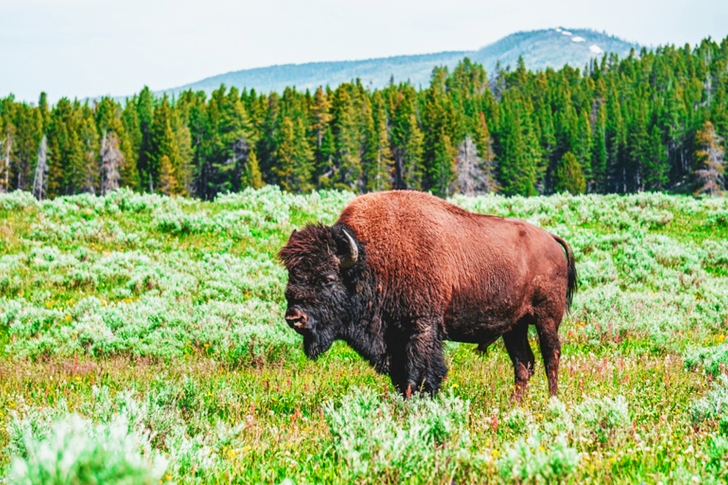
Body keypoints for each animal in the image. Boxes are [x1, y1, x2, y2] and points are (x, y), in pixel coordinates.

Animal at [279, 191, 576, 401]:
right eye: (292, 275)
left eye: (328, 278)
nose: (294, 317)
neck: (369, 261)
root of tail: (550, 238)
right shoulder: (394, 339)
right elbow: (402, 377)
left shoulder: (421, 329)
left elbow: (420, 373)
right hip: (514, 327)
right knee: (523, 364)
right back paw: (515, 405)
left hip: (546, 319)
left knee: (551, 356)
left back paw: (552, 402)